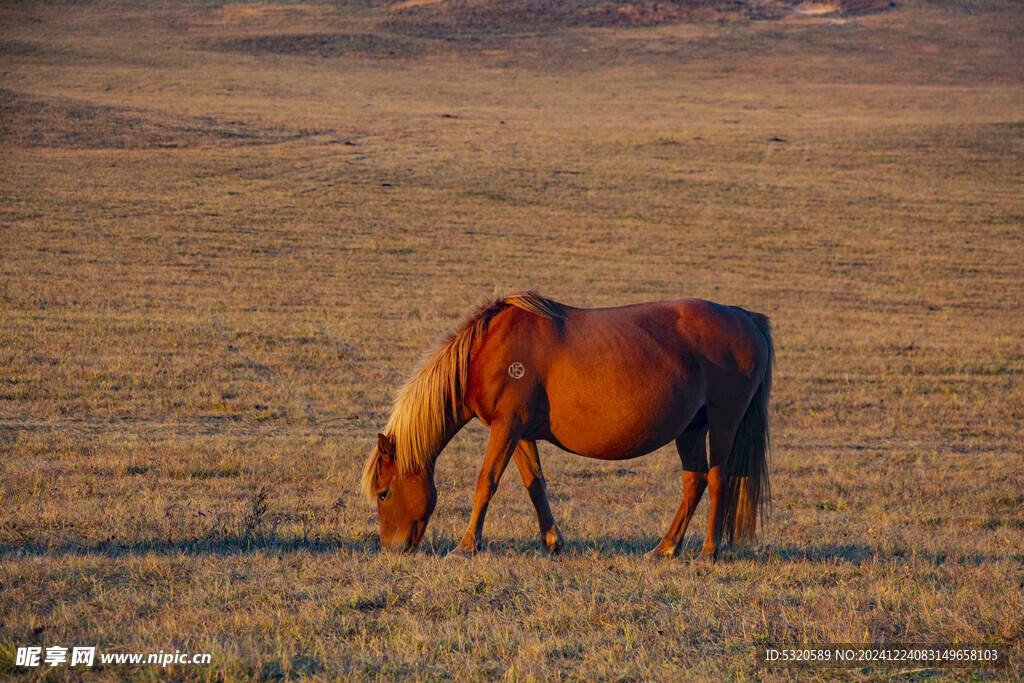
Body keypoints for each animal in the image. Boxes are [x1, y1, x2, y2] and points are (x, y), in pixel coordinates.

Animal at [360, 290, 770, 561]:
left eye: (383, 493)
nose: (391, 549)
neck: (488, 350)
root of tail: (742, 314)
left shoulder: (506, 427)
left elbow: (486, 483)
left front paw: (465, 547)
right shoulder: (519, 433)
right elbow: (535, 486)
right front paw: (553, 542)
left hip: (723, 422)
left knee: (717, 479)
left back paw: (708, 551)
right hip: (691, 428)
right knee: (694, 482)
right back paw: (665, 548)